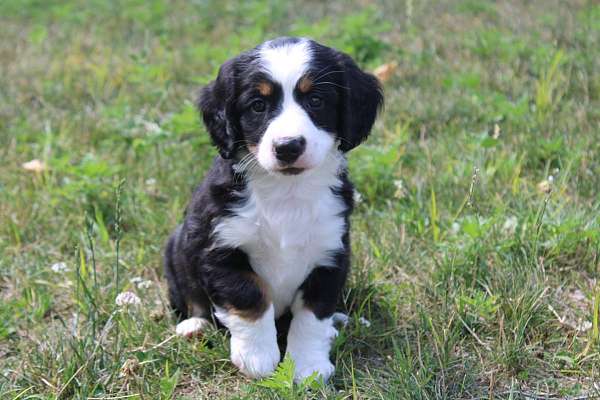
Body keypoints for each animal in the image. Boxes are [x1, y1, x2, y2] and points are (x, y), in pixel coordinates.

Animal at [162, 36, 382, 382]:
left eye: (316, 100)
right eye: (257, 105)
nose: (288, 146)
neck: (286, 193)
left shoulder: (330, 253)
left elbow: (312, 316)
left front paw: (308, 365)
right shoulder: (221, 248)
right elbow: (250, 297)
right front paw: (258, 357)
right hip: (175, 252)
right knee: (191, 299)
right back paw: (194, 326)